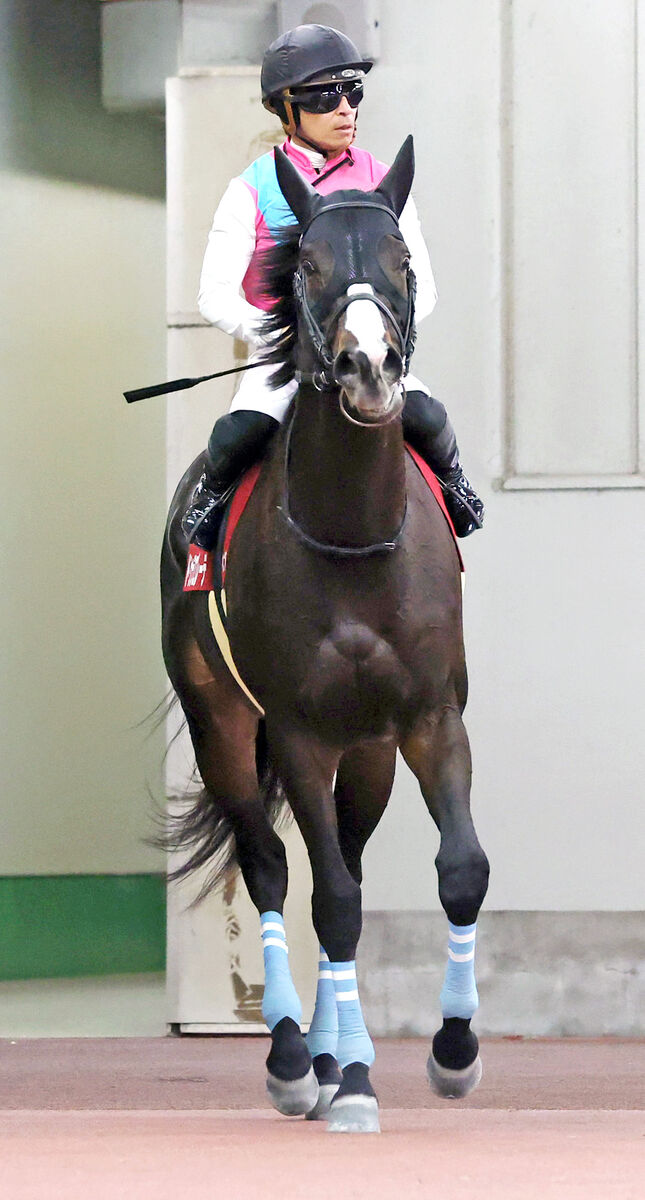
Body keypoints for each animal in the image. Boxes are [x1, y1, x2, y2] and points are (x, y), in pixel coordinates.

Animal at [160, 136, 486, 1128]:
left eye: (401, 258)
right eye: (302, 263)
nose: (368, 367)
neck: (350, 535)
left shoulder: (427, 718)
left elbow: (458, 870)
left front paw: (453, 1053)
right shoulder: (298, 731)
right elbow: (327, 901)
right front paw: (337, 1080)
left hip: (367, 748)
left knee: (347, 855)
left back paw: (343, 1058)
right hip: (224, 725)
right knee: (272, 869)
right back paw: (300, 1059)